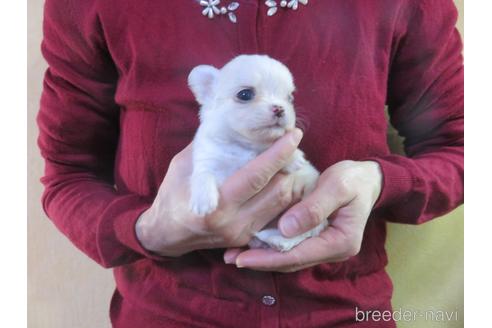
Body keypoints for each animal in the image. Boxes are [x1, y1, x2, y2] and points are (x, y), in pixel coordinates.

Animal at [185, 55, 326, 252]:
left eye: (289, 97)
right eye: (245, 94)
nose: (280, 108)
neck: (245, 146)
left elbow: (275, 148)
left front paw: (293, 158)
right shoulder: (208, 159)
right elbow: (202, 175)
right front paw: (203, 200)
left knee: (309, 230)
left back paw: (279, 241)